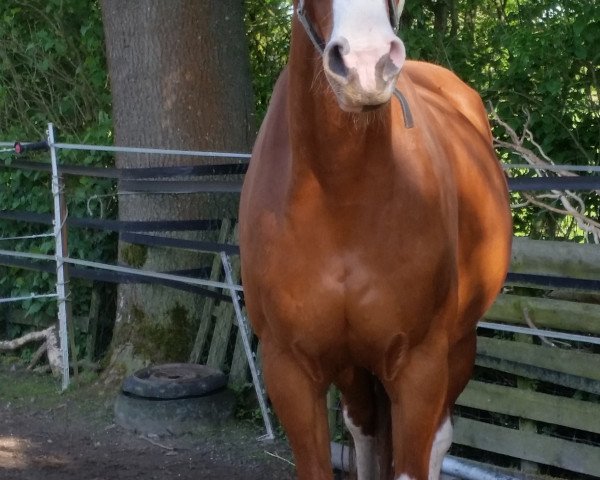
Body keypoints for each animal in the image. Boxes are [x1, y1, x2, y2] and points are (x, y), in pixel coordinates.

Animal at [239, 1, 510, 478]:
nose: (366, 65)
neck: (339, 191)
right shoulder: (289, 368)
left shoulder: (419, 367)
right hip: (354, 369)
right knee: (363, 426)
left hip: (458, 348)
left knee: (440, 437)